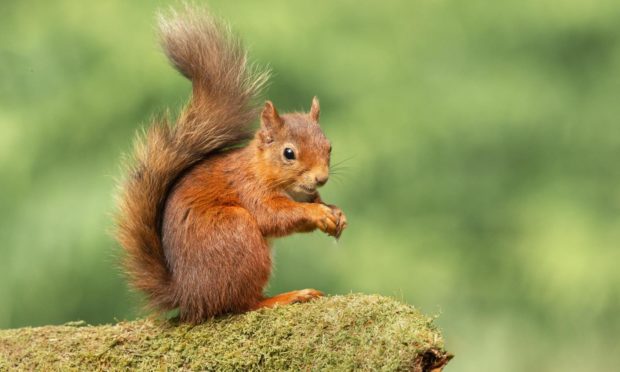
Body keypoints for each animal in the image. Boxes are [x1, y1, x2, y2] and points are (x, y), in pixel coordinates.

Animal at [116, 5, 346, 322]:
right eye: (289, 153)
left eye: (329, 147)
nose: (321, 178)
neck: (261, 168)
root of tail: (189, 295)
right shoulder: (247, 187)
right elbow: (273, 215)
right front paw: (316, 213)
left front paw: (335, 213)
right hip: (236, 232)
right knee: (241, 303)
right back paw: (286, 297)